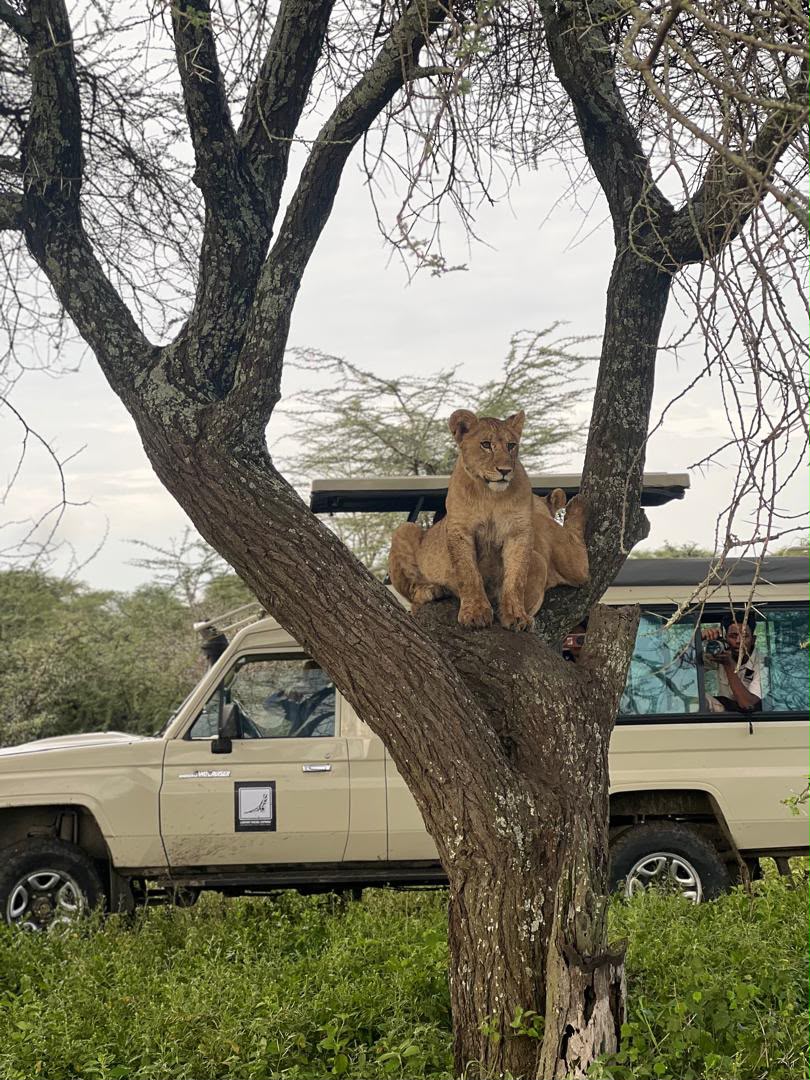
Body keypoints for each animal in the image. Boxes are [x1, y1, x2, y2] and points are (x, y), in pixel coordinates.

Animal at [388, 408, 590, 630]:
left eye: (511, 445)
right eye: (485, 444)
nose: (504, 470)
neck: (490, 496)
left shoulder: (521, 532)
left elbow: (516, 576)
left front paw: (515, 615)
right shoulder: (460, 529)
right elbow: (468, 573)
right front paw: (475, 613)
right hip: (405, 528)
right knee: (413, 595)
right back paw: (431, 590)